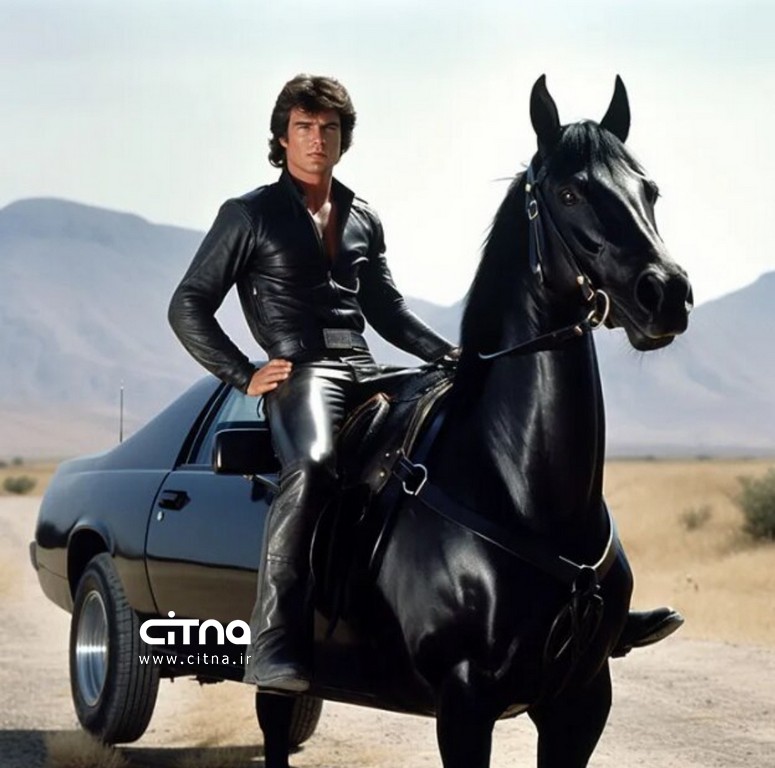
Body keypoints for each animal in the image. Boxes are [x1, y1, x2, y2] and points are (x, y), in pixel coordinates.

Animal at [256, 74, 693, 768]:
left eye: (648, 190)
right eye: (569, 192)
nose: (666, 293)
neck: (525, 495)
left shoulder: (580, 702)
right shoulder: (465, 702)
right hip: (282, 677)